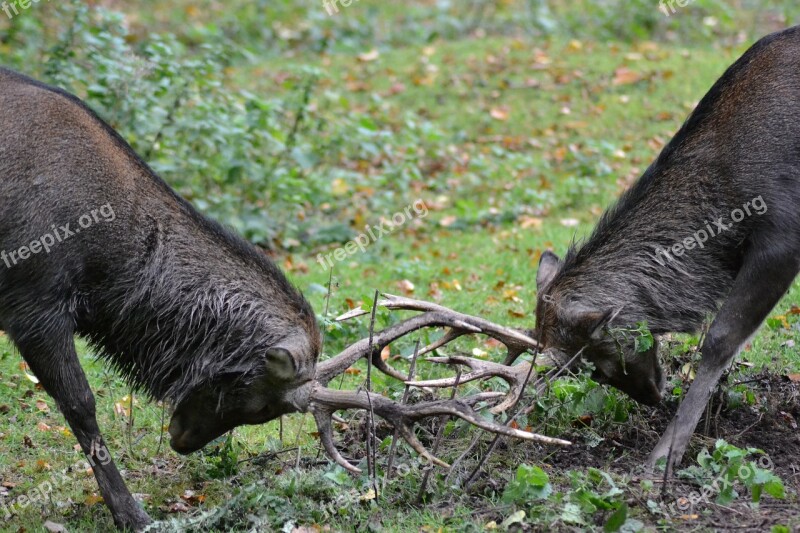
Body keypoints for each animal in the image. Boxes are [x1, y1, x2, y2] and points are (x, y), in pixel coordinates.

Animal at [0, 67, 568, 528]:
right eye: (254, 397)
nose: (181, 439)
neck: (106, 265)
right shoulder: (33, 303)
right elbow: (82, 405)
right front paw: (131, 513)